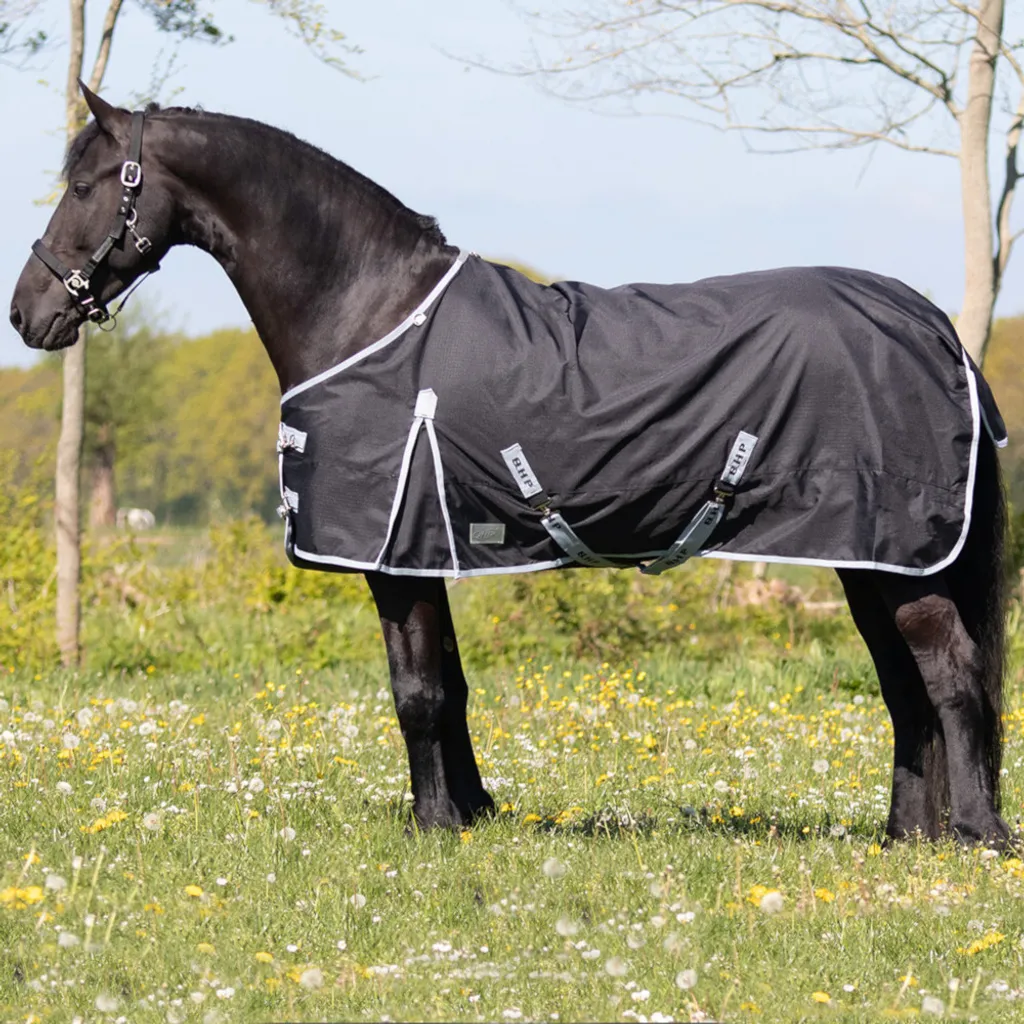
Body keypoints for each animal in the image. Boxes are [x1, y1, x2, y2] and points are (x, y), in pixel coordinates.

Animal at [10, 84, 1011, 847]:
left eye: (87, 184)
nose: (28, 314)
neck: (370, 310)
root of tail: (929, 323)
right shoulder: (427, 549)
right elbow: (449, 685)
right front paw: (471, 813)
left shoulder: (393, 558)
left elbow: (416, 692)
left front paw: (429, 828)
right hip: (863, 556)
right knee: (905, 688)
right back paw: (903, 836)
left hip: (895, 557)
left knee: (950, 677)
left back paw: (973, 837)